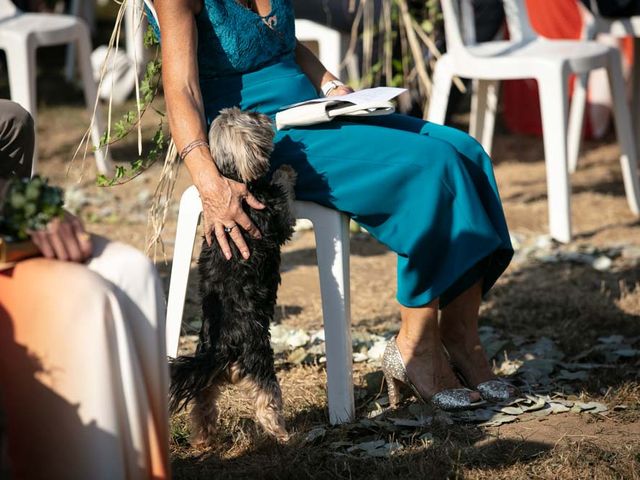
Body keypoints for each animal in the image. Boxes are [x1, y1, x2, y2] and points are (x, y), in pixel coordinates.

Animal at [169, 108, 296, 442]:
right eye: (251, 117)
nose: (260, 111)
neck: (233, 176)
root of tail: (220, 348)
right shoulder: (275, 215)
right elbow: (282, 194)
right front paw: (285, 170)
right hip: (260, 360)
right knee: (267, 400)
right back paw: (282, 434)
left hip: (209, 378)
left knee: (202, 403)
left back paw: (203, 437)